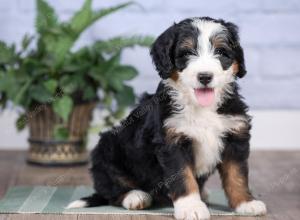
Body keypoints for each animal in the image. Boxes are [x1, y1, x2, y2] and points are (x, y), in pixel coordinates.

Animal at [67, 17, 266, 220]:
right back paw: (135, 196)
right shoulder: (172, 142)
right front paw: (191, 207)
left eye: (220, 52)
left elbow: (237, 174)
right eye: (187, 53)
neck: (201, 107)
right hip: (106, 149)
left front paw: (245, 203)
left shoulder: (235, 136)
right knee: (112, 189)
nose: (205, 76)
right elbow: (183, 177)